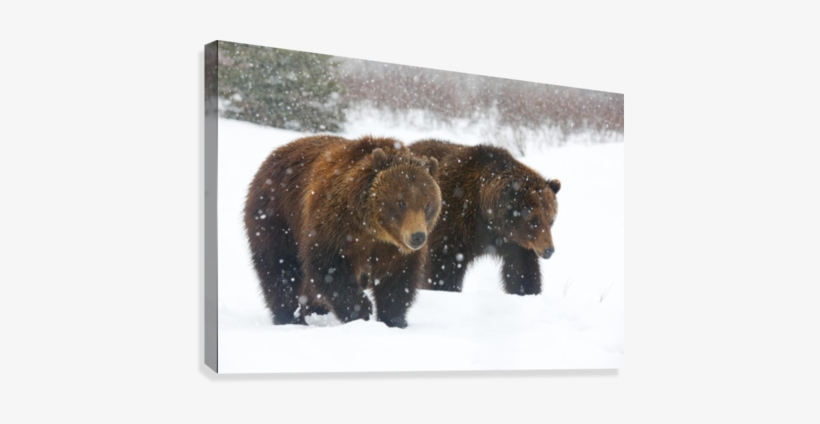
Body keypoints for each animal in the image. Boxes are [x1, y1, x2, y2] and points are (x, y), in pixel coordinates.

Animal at [244, 135, 441, 328]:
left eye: (427, 205)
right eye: (401, 202)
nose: (418, 236)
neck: (372, 227)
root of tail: (273, 155)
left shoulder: (391, 248)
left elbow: (397, 279)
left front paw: (393, 320)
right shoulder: (336, 225)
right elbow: (329, 267)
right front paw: (361, 310)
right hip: (277, 215)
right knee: (280, 267)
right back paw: (290, 318)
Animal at [409, 139, 560, 295]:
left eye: (551, 221)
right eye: (534, 221)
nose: (549, 250)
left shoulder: (513, 241)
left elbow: (522, 268)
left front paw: (527, 290)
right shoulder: (454, 219)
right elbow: (444, 265)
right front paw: (444, 288)